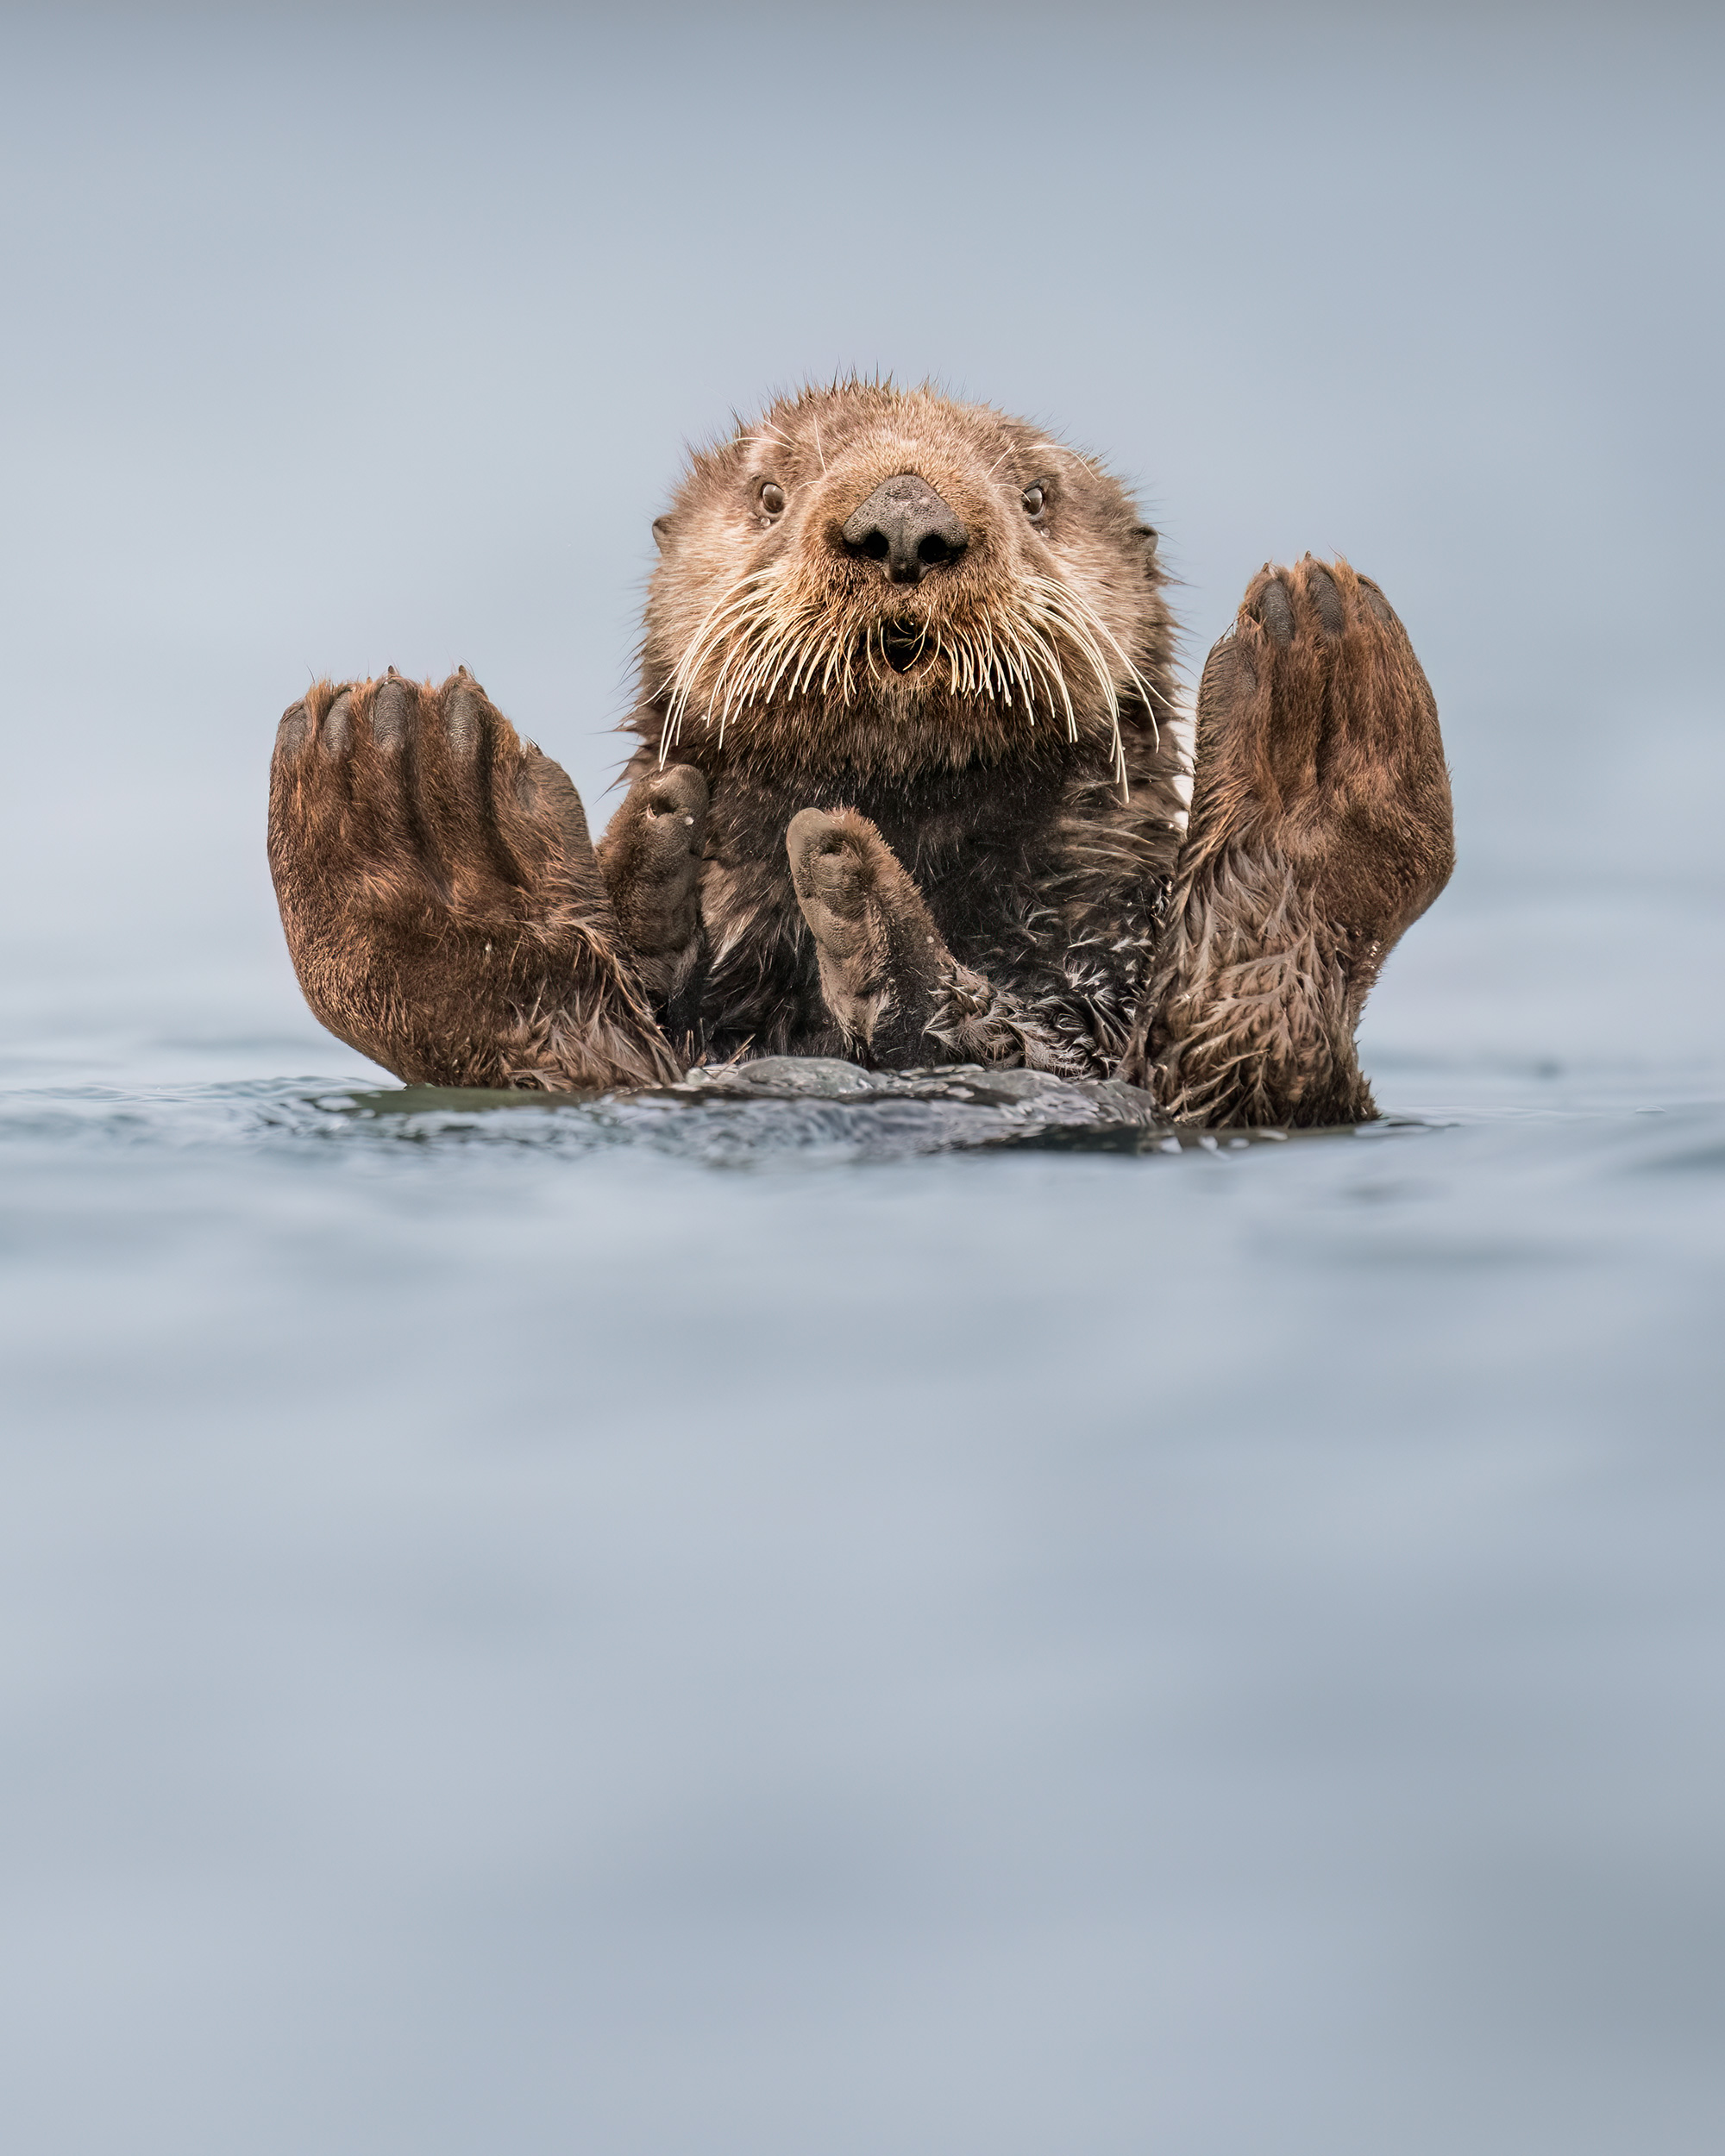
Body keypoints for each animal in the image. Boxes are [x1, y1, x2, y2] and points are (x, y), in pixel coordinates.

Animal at [269, 384, 1458, 1130]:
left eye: (1034, 496)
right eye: (768, 494)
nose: (903, 519)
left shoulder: (1101, 965)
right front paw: (660, 857)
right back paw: (424, 810)